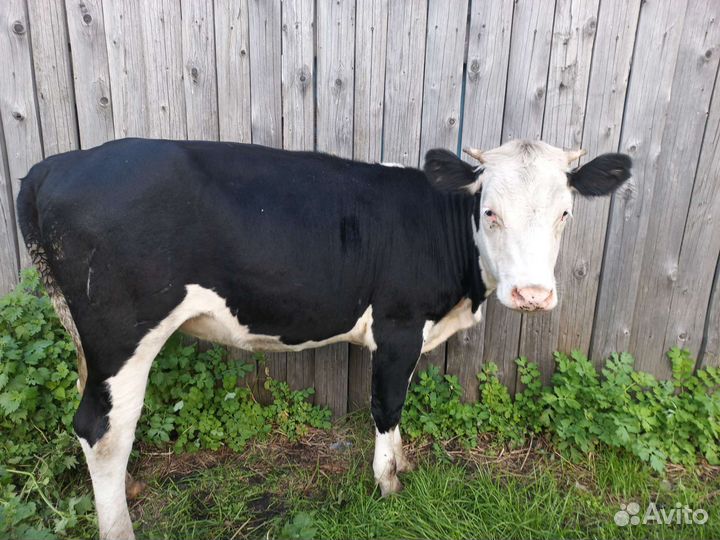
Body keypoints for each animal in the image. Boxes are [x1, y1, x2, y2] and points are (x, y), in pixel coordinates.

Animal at [16, 138, 631, 539]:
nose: (532, 294)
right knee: (102, 430)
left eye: (565, 213)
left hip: (88, 338)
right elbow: (387, 403)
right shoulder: (399, 324)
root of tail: (57, 163)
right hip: (122, 334)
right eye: (491, 211)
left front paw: (403, 463)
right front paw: (388, 485)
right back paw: (119, 526)